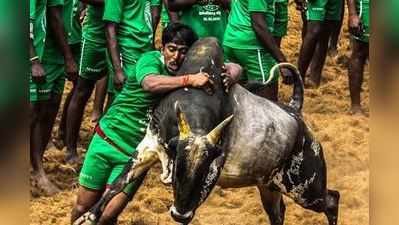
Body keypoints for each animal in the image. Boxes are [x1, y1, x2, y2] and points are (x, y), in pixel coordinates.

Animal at [72, 37, 340, 225]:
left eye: (202, 170)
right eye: (179, 165)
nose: (178, 214)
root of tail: (295, 112)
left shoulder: (212, 170)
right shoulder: (148, 146)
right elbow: (116, 185)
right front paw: (87, 216)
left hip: (305, 188)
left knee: (332, 200)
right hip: (270, 186)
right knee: (279, 213)